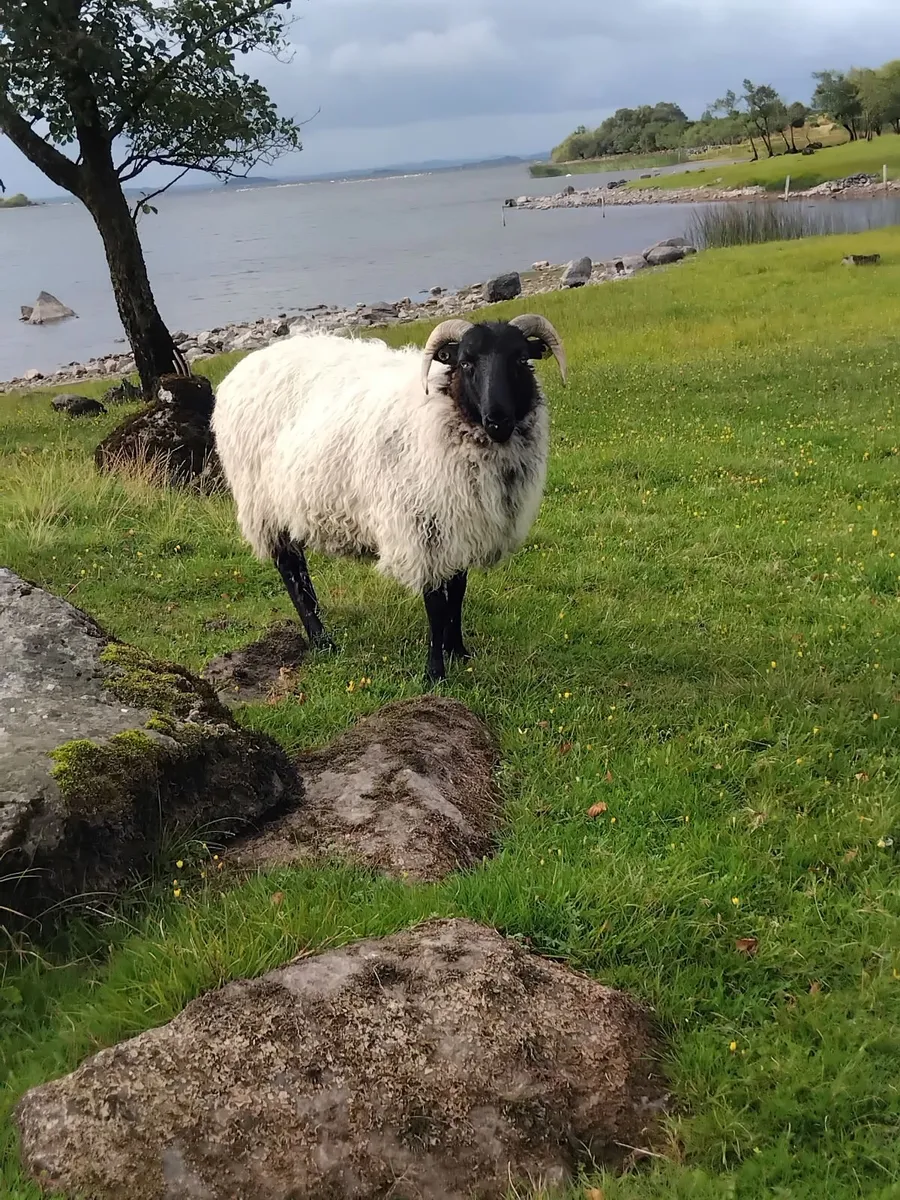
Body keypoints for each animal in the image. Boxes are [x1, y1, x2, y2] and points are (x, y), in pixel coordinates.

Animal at [212, 315, 567, 682]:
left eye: (521, 360)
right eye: (466, 362)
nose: (498, 419)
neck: (442, 409)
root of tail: (245, 366)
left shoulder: (459, 523)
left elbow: (457, 592)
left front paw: (458, 652)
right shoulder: (422, 527)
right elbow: (435, 604)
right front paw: (435, 671)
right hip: (263, 504)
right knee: (291, 569)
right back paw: (322, 641)